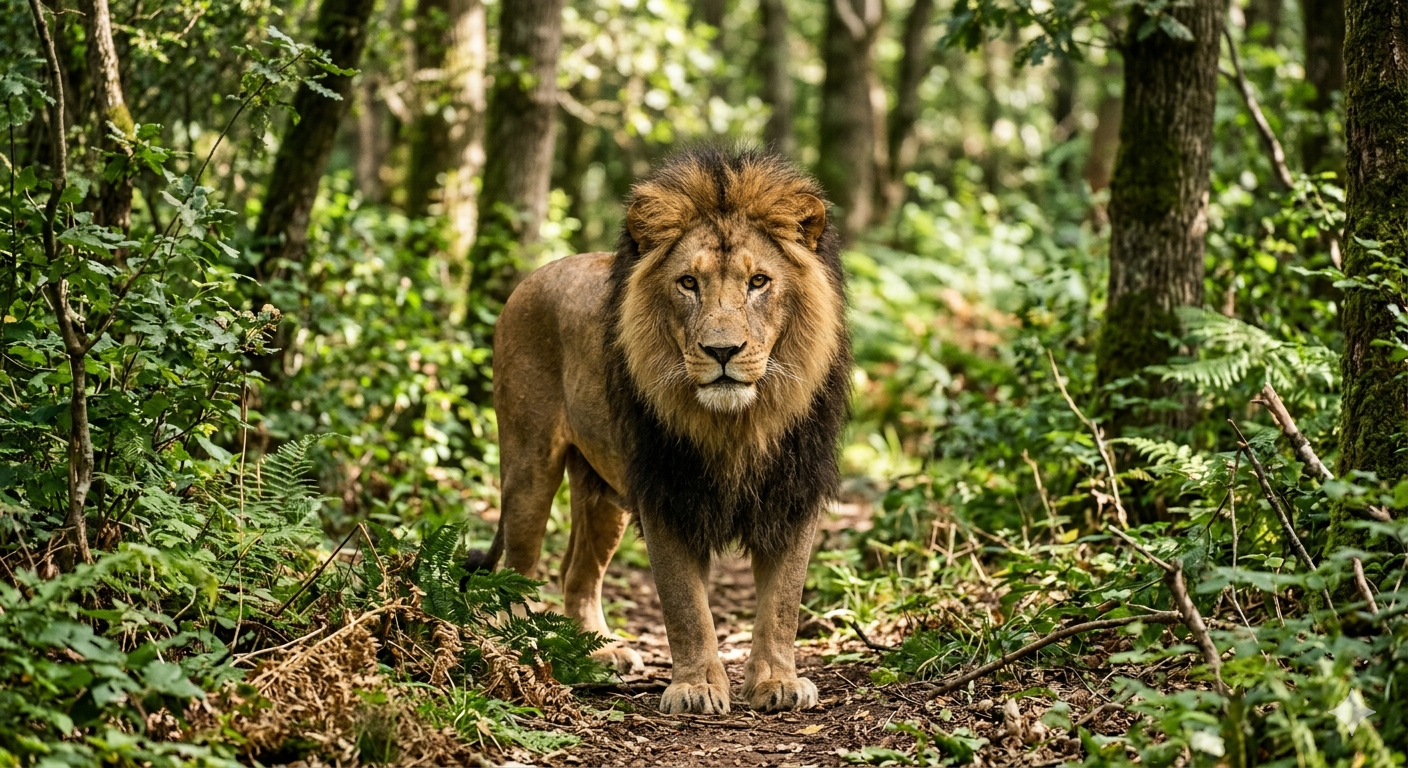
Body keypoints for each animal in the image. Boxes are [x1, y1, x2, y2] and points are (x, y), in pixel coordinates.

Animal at [466, 148, 851, 715]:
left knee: (576, 573)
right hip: (530, 466)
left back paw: (601, 654)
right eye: (688, 283)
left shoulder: (793, 491)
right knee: (517, 569)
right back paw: (526, 653)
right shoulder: (666, 493)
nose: (722, 351)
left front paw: (776, 681)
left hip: (602, 493)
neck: (738, 423)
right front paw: (696, 687)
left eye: (759, 282)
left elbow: (783, 602)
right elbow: (685, 605)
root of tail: (535, 276)